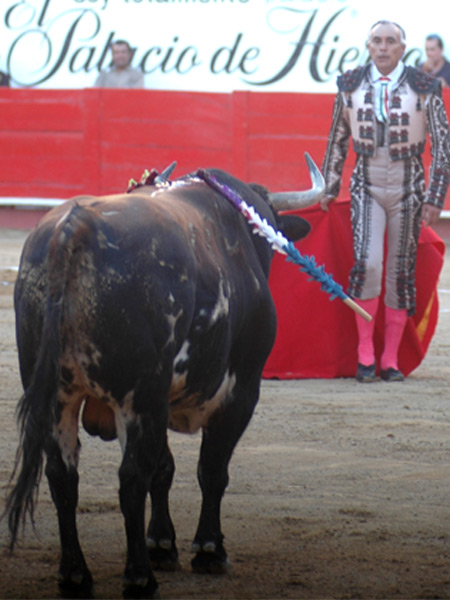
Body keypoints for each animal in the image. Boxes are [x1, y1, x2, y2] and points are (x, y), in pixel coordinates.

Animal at [3, 157, 320, 596]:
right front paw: (208, 551)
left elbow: (165, 468)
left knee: (63, 475)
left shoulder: (162, 400)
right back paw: (138, 578)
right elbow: (211, 469)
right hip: (139, 395)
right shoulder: (240, 390)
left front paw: (162, 544)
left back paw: (75, 575)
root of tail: (75, 227)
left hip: (59, 395)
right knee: (131, 478)